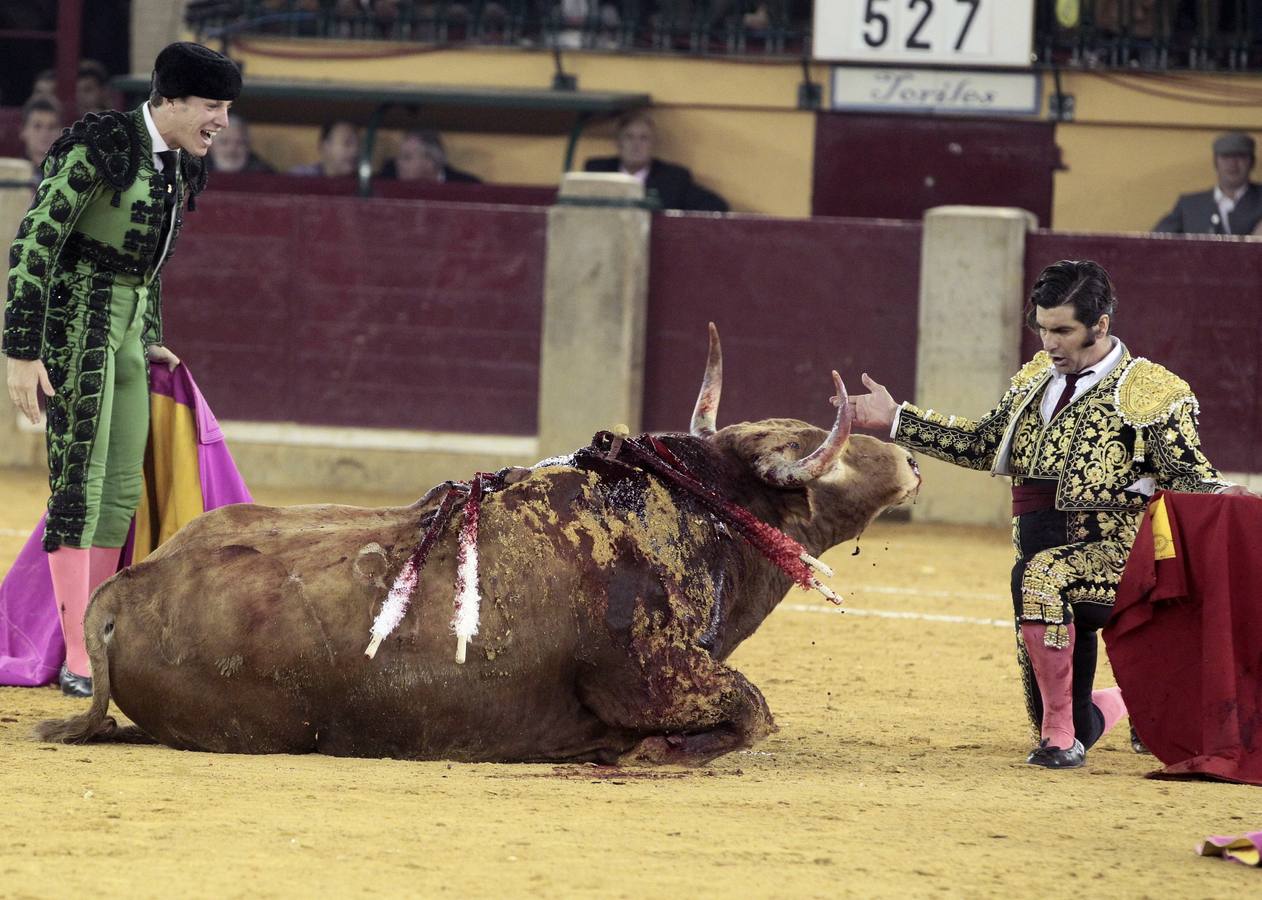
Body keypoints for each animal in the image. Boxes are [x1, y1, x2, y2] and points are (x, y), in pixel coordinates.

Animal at [36, 325, 918, 762]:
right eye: (831, 454)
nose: (910, 461)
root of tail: (128, 587)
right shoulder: (652, 677)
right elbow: (754, 711)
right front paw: (645, 752)